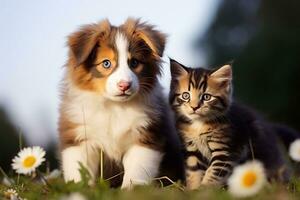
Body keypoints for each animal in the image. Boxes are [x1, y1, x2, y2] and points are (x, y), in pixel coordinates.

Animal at [57, 18, 184, 188]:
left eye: (134, 62)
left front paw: (132, 189)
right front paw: (80, 188)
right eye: (106, 63)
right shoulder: (79, 137)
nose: (125, 85)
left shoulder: (145, 136)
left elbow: (137, 169)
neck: (114, 106)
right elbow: (79, 169)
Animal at [169, 58, 288, 189]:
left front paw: (204, 189)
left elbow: (213, 173)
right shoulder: (192, 149)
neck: (199, 124)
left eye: (206, 97)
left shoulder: (225, 151)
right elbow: (194, 172)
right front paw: (193, 189)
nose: (194, 107)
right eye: (186, 95)